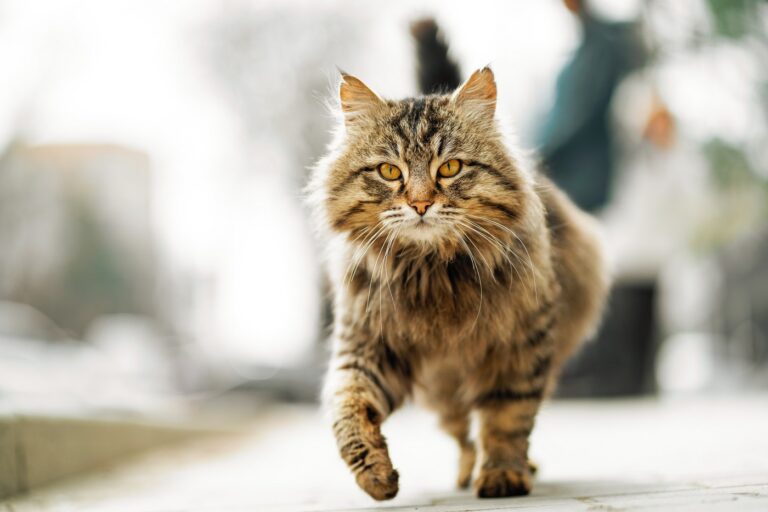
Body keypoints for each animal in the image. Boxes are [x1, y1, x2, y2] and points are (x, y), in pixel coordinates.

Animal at [308, 65, 608, 500]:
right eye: (389, 171)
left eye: (450, 168)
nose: (420, 204)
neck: (431, 272)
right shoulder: (368, 345)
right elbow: (349, 407)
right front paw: (376, 476)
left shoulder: (519, 346)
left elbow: (506, 418)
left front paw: (503, 474)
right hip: (443, 394)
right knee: (461, 434)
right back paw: (466, 472)